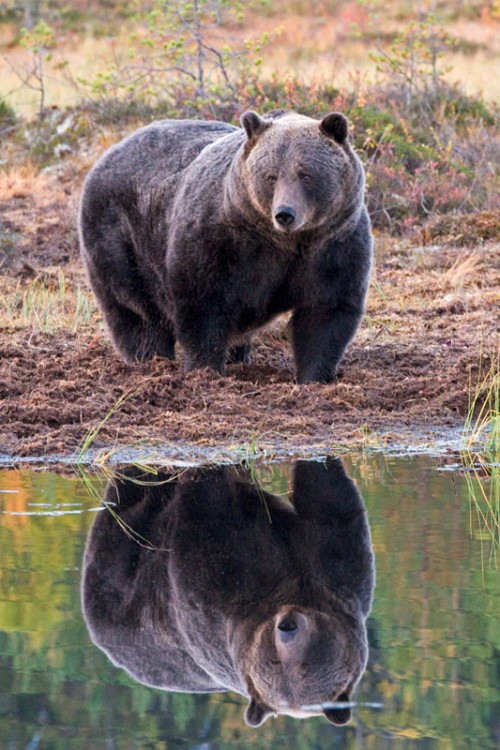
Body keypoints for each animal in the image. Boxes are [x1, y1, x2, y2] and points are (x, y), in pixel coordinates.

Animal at [79, 108, 372, 384]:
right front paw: (206, 369)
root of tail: (112, 149)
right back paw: (149, 360)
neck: (285, 243)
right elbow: (202, 305)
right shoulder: (218, 242)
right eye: (271, 176)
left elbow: (326, 312)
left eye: (306, 175)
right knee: (135, 309)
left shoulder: (333, 247)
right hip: (119, 237)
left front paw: (314, 377)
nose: (285, 214)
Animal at [82, 458, 374, 728]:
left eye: (305, 666)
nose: (287, 626)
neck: (290, 590)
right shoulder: (221, 596)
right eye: (275, 661)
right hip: (123, 572)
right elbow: (206, 520)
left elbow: (328, 502)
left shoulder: (336, 574)